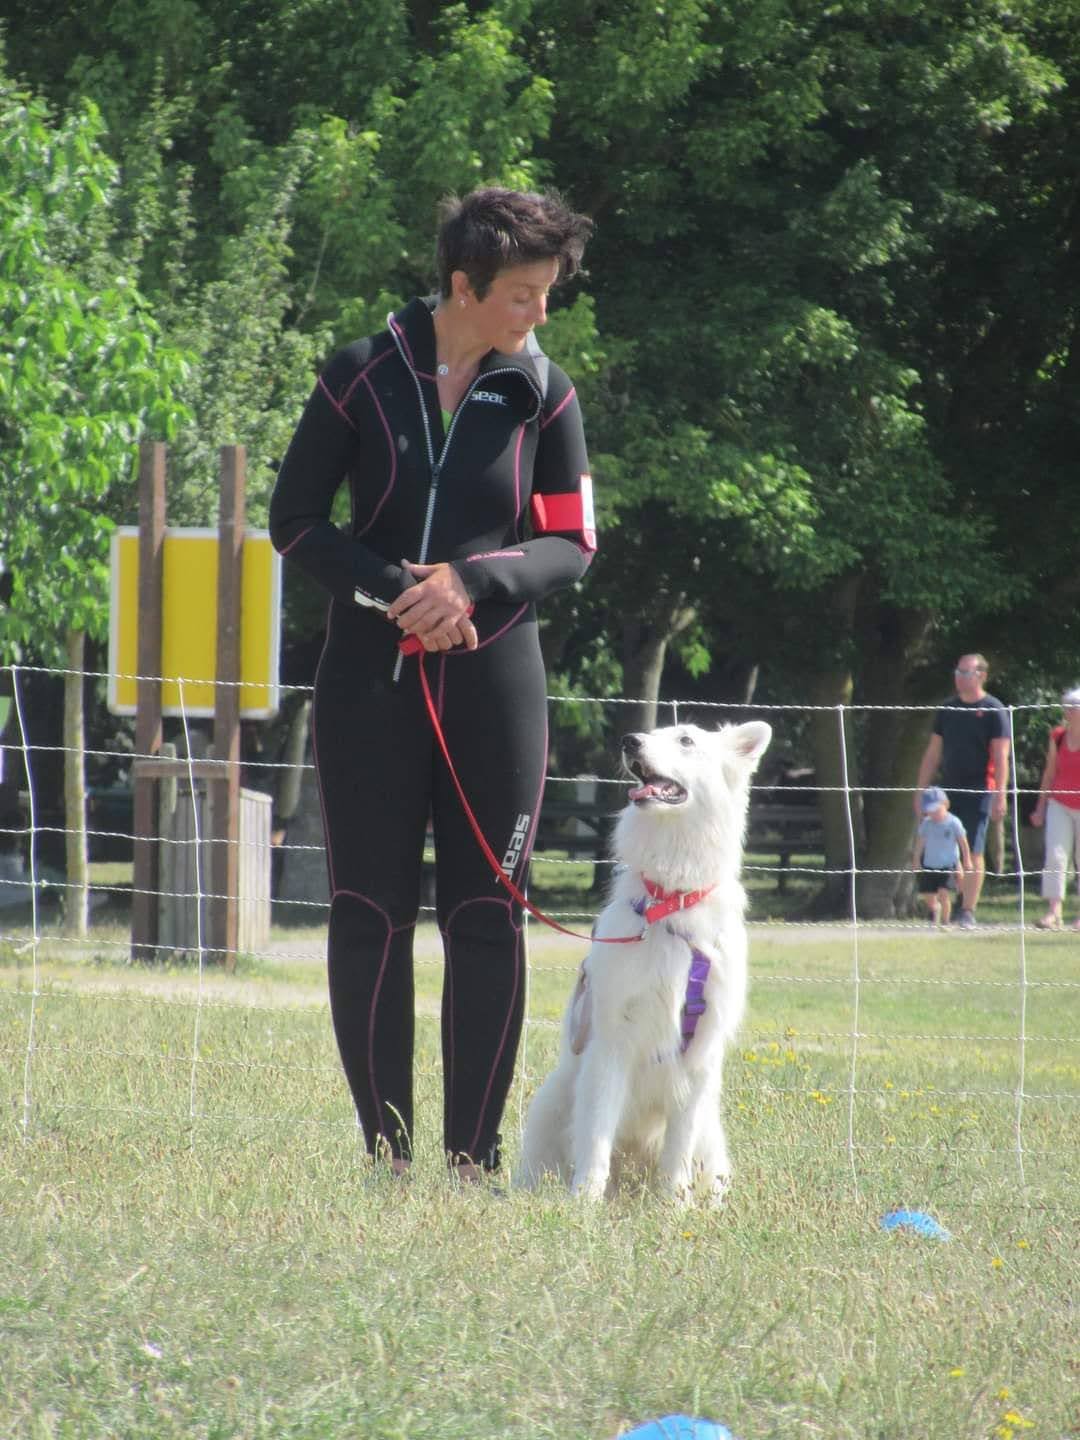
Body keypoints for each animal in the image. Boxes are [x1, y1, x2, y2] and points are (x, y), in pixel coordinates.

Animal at [521, 720, 771, 1203]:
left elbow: (678, 1150)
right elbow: (597, 1133)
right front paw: (584, 1202)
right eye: (653, 733)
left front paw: (673, 1206)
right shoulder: (611, 1043)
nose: (629, 741)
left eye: (686, 740)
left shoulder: (699, 1056)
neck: (670, 901)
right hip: (550, 1102)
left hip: (711, 1132)